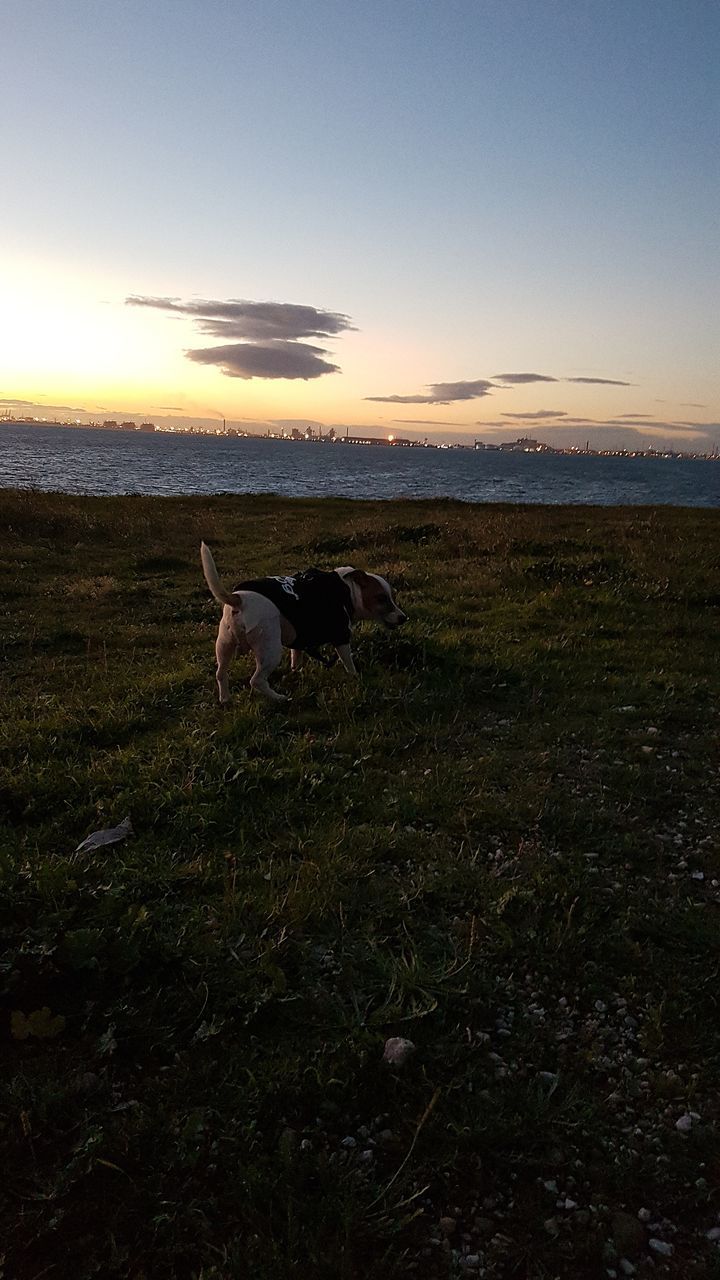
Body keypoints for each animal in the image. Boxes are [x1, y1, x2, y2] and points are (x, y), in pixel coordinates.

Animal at [198, 537, 407, 706]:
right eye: (381, 598)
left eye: (391, 596)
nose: (404, 618)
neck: (347, 589)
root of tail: (239, 600)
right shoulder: (341, 636)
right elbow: (348, 661)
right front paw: (355, 676)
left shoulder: (298, 640)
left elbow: (296, 659)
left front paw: (296, 673)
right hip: (270, 649)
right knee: (256, 680)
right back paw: (279, 698)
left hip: (224, 644)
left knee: (220, 673)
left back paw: (225, 698)